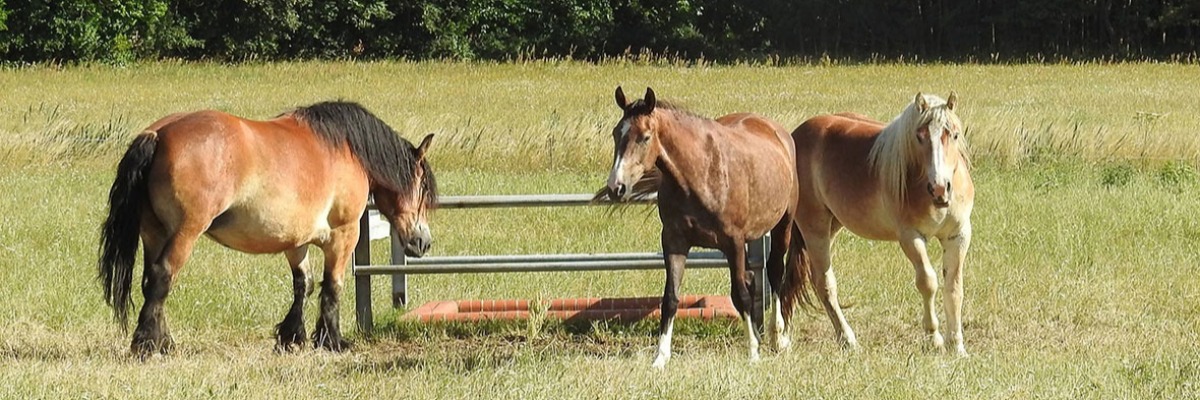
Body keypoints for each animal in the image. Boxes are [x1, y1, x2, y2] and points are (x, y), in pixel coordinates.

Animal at [97, 101, 436, 353]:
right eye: (422, 187)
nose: (423, 242)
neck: (346, 148)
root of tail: (158, 134)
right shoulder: (343, 234)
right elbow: (332, 286)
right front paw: (332, 340)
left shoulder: (296, 241)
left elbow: (303, 284)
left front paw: (291, 336)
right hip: (185, 233)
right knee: (163, 276)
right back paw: (146, 344)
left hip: (154, 234)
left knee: (150, 282)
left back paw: (163, 341)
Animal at [597, 87, 796, 367]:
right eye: (617, 133)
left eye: (645, 137)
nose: (617, 187)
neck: (700, 173)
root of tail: (776, 130)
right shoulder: (674, 242)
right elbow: (670, 298)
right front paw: (660, 358)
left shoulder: (733, 242)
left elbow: (741, 295)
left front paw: (753, 354)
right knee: (752, 278)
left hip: (783, 224)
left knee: (775, 272)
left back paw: (778, 338)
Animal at [787, 92, 974, 353]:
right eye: (919, 136)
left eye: (954, 134)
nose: (939, 188)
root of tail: (795, 136)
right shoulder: (911, 237)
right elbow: (928, 282)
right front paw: (934, 336)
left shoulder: (958, 235)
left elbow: (954, 288)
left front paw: (956, 345)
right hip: (814, 228)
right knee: (823, 283)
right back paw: (846, 338)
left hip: (831, 226)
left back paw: (780, 337)